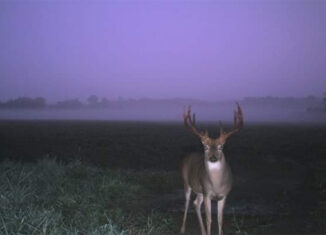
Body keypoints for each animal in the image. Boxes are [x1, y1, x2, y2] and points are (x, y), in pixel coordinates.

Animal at [180, 103, 243, 235]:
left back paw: (203, 231)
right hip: (186, 182)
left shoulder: (224, 195)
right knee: (187, 203)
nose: (213, 157)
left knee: (196, 203)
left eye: (221, 147)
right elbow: (209, 219)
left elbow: (220, 219)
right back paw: (182, 229)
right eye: (205, 146)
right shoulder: (207, 193)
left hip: (199, 190)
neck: (216, 185)